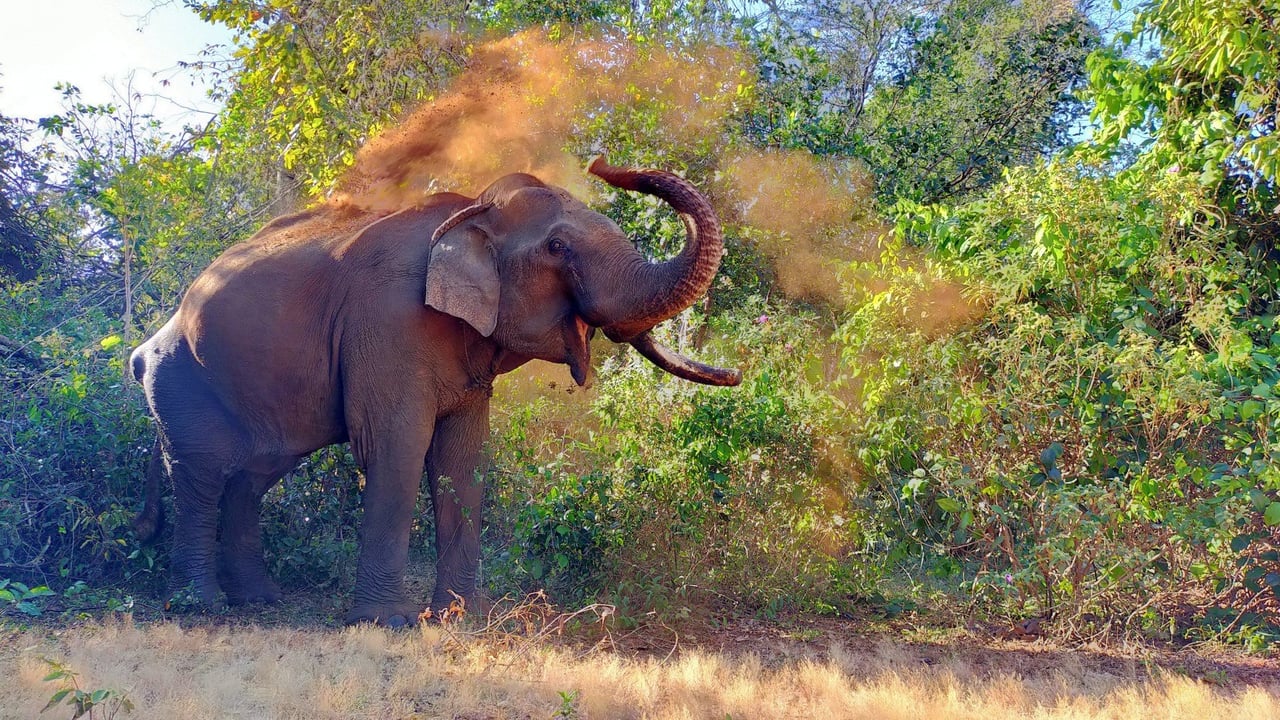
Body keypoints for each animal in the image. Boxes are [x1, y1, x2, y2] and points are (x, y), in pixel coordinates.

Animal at [129, 155, 742, 622]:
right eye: (557, 249)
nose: (602, 164)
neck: (470, 211)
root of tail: (145, 345)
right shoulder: (386, 323)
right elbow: (395, 448)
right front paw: (389, 624)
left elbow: (462, 459)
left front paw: (460, 617)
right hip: (181, 385)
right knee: (202, 476)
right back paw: (201, 610)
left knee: (252, 477)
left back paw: (259, 603)